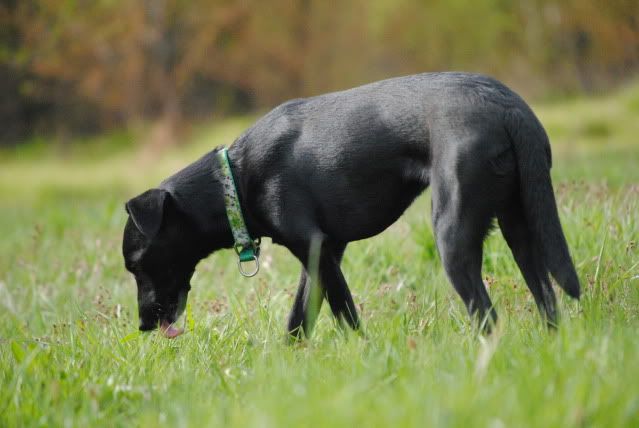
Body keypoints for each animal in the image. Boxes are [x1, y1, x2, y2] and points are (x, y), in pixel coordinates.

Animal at [122, 72, 580, 338]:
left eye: (137, 265)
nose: (143, 325)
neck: (234, 178)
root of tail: (509, 108)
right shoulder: (323, 252)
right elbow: (299, 318)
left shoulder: (316, 249)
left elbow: (346, 316)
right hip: (521, 225)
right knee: (546, 297)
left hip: (452, 233)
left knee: (486, 316)